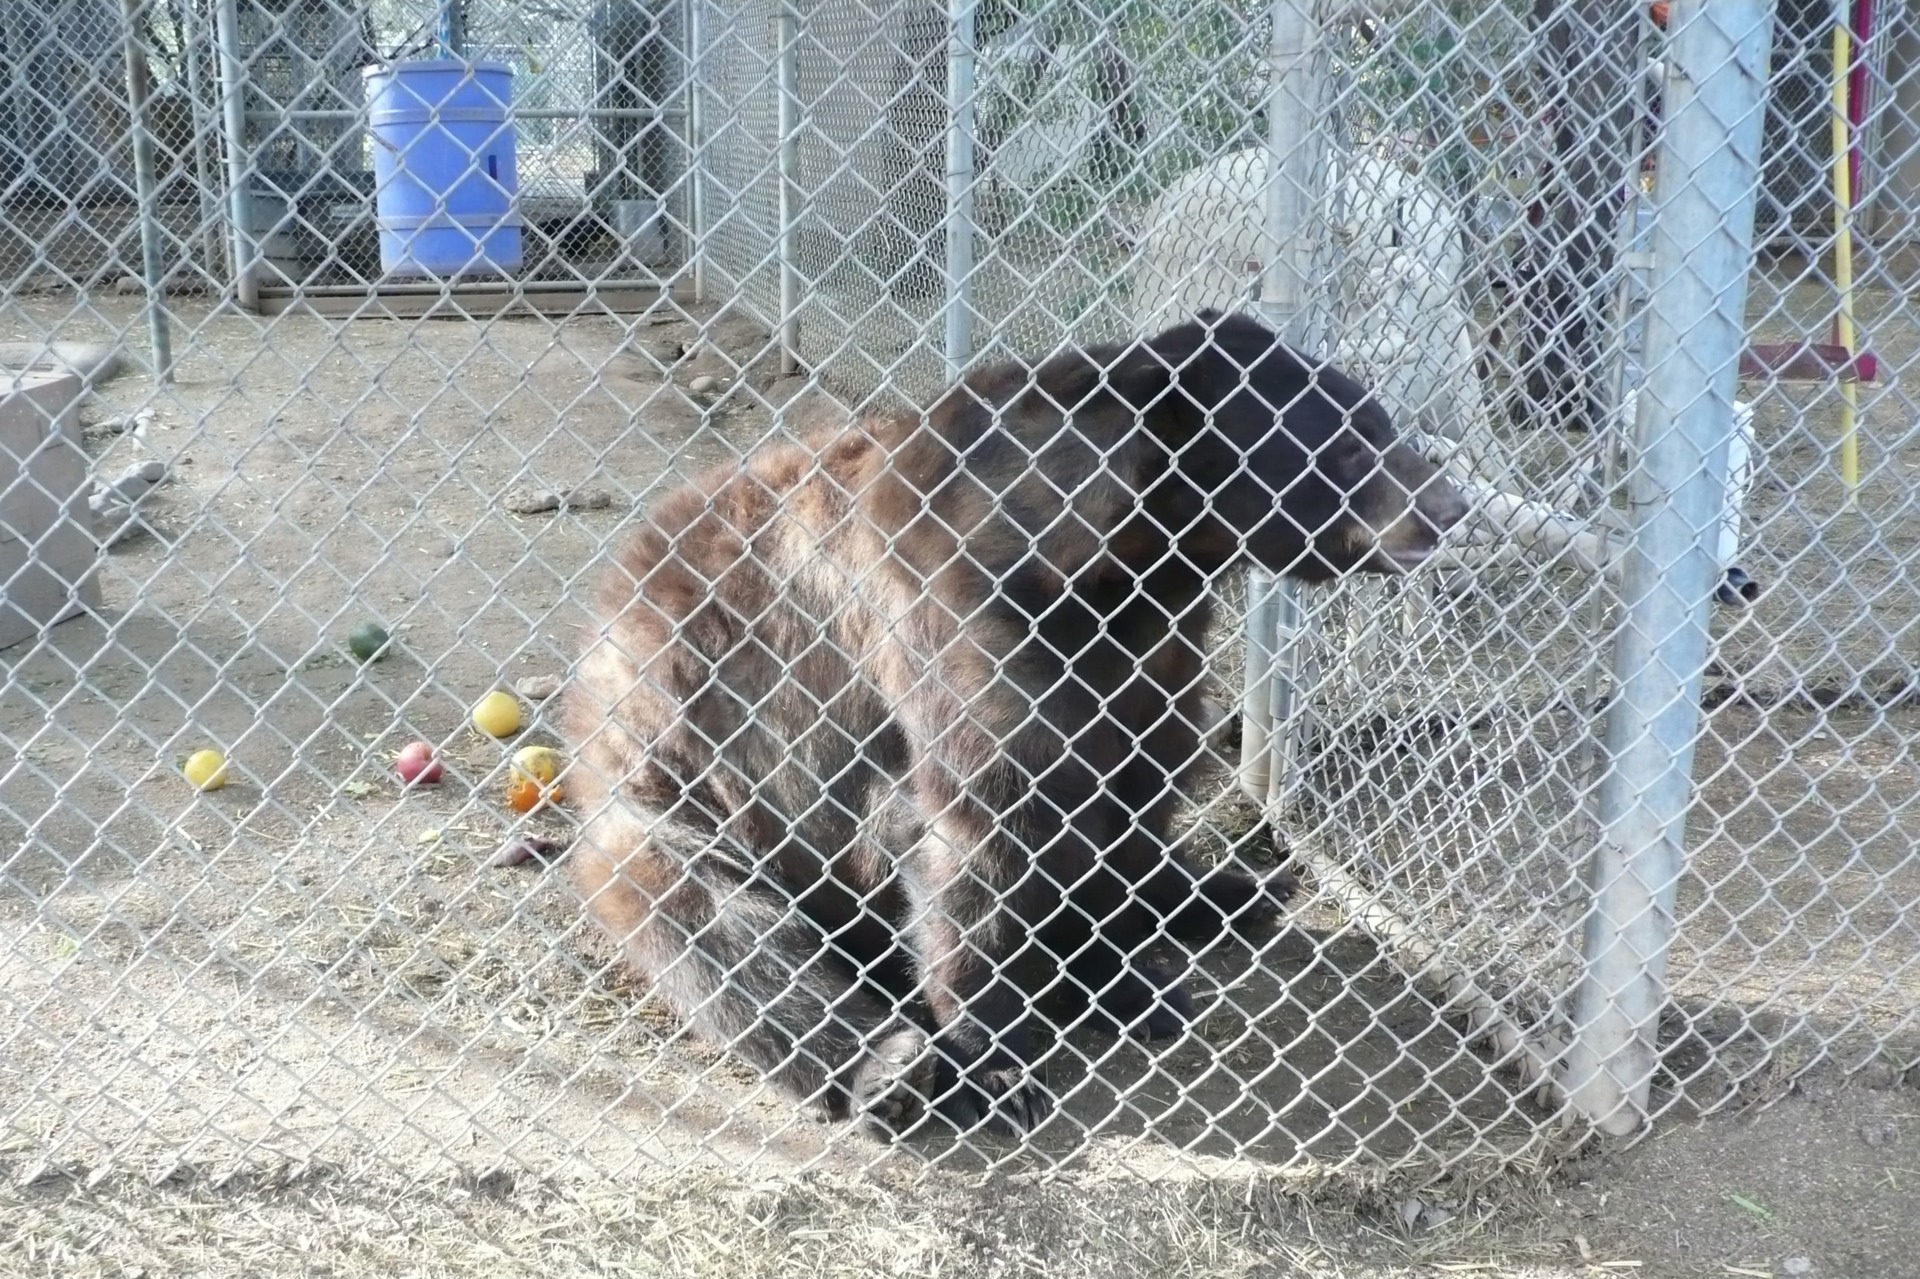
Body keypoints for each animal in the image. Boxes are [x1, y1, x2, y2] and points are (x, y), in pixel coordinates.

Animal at [555, 310, 1468, 1138]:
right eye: (1344, 442)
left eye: (1380, 420)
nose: (1448, 506)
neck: (1122, 572)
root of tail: (592, 656)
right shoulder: (958, 621)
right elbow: (981, 829)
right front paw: (997, 1066)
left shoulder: (1154, 655)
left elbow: (1134, 794)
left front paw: (1123, 969)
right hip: (683, 776)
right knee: (717, 921)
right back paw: (888, 1065)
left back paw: (1229, 893)